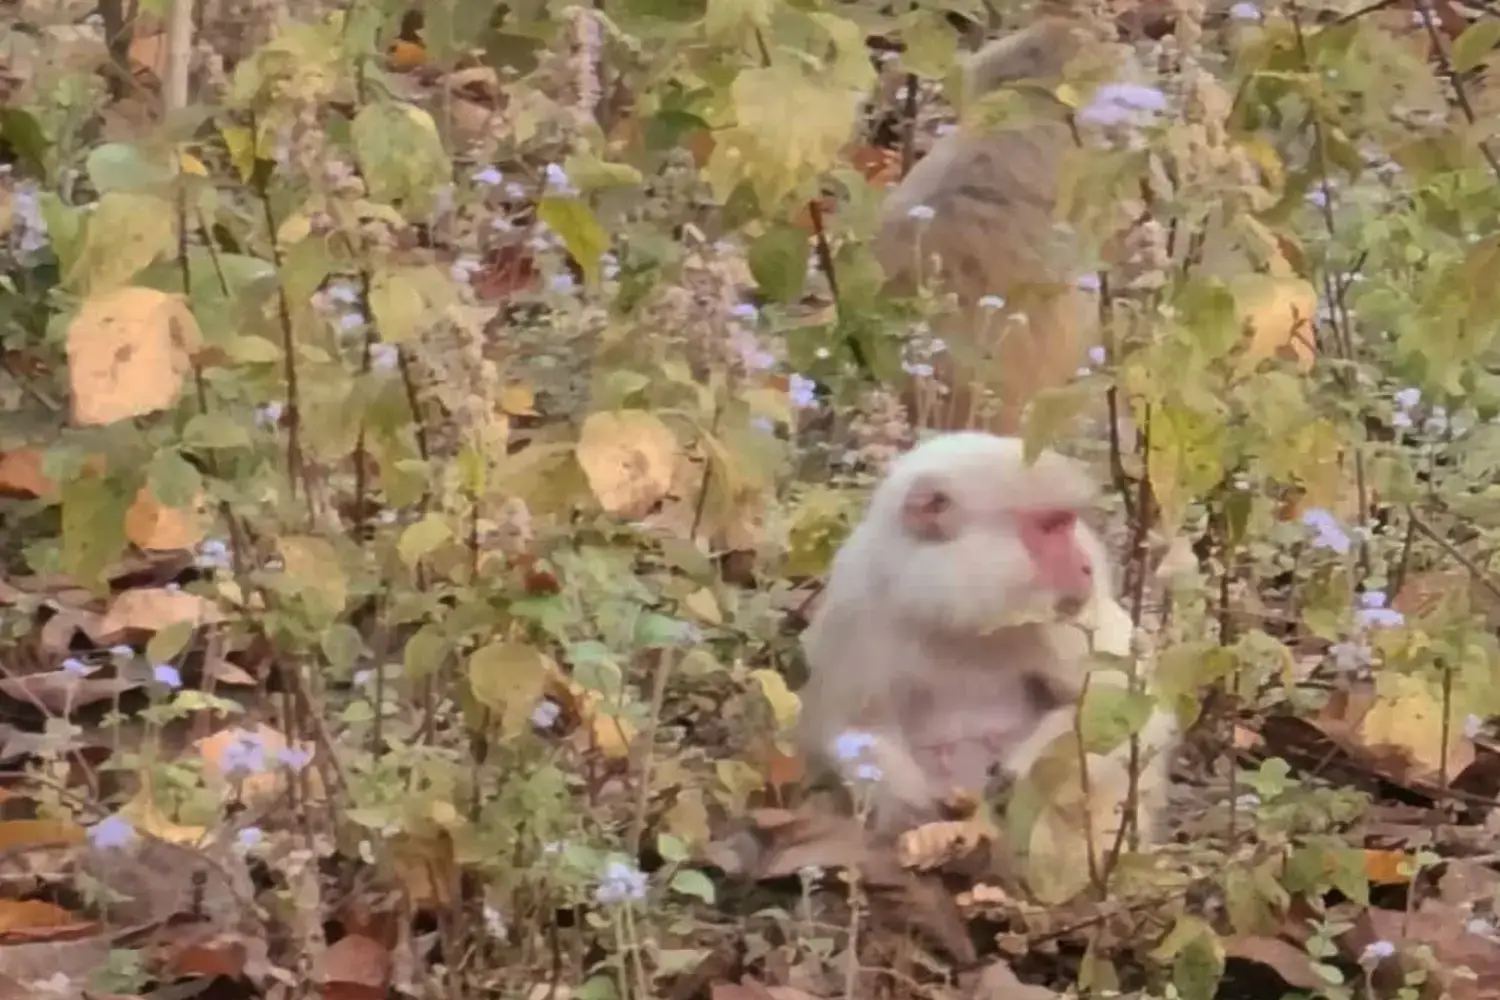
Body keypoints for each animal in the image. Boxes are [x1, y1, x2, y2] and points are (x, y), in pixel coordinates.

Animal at [796, 432, 1178, 875]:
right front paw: (915, 810)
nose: (1085, 566)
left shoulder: (1068, 618)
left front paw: (1020, 773)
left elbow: (1127, 707)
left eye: (1066, 523)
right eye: (1049, 527)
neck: (953, 611)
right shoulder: (856, 605)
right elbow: (854, 728)